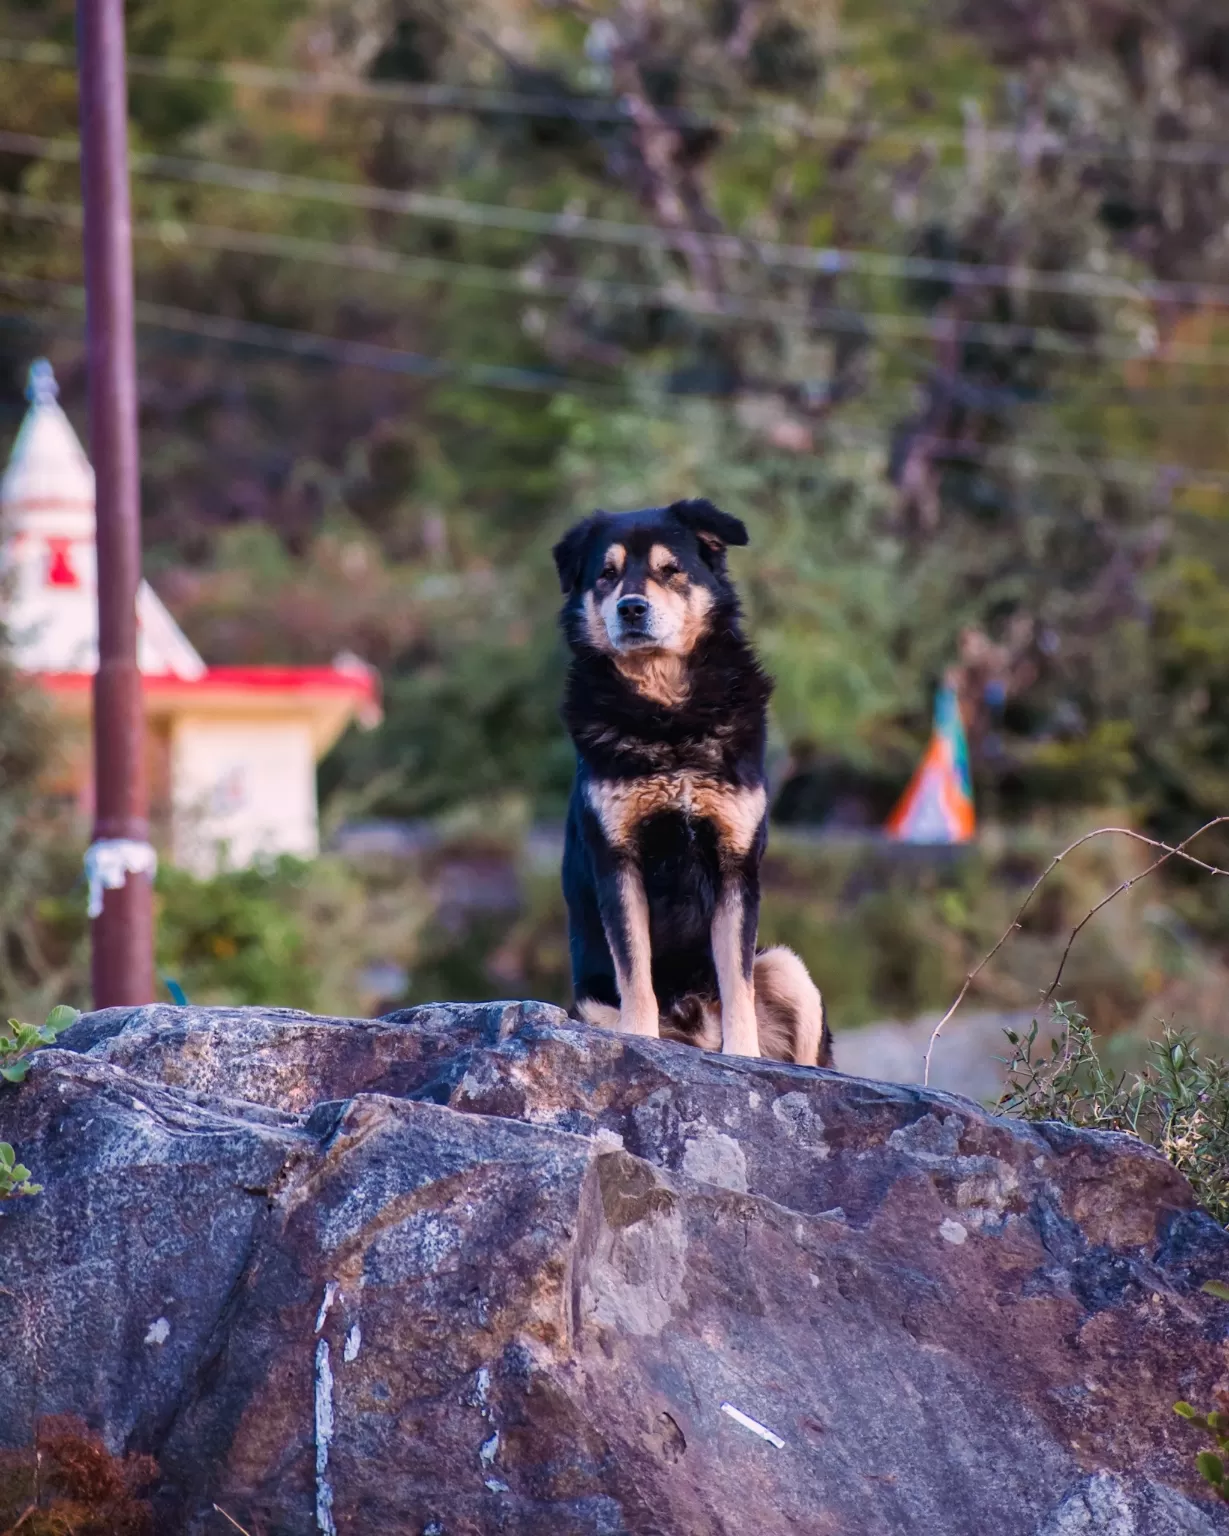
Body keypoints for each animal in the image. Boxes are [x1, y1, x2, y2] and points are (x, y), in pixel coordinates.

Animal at [556, 497, 835, 1062]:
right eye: (606, 574)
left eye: (670, 570)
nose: (631, 608)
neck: (669, 719)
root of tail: (696, 1032)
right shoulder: (618, 861)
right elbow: (635, 970)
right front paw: (640, 1039)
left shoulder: (735, 863)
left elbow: (736, 980)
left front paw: (743, 1055)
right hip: (591, 1004)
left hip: (789, 968)